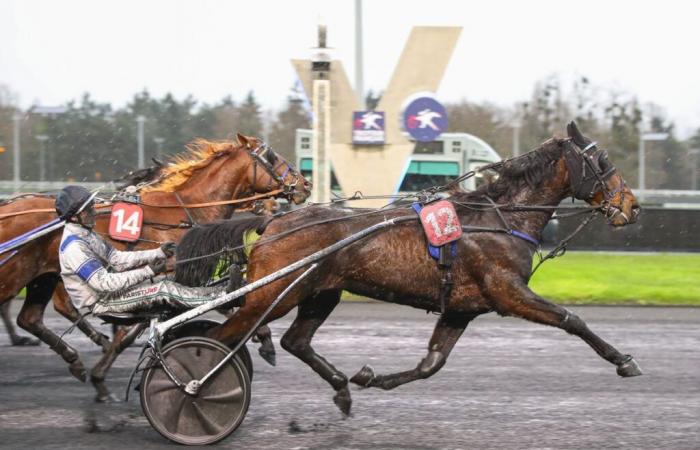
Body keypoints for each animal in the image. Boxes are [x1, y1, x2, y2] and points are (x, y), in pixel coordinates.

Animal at [0, 134, 308, 398]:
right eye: (272, 156)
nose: (304, 184)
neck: (187, 210)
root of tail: (7, 208)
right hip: (15, 274)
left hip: (43, 275)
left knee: (30, 318)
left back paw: (73, 359)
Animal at [179, 120, 640, 414]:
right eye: (602, 161)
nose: (632, 206)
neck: (498, 218)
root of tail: (273, 220)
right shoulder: (508, 292)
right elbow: (571, 319)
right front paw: (623, 360)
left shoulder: (462, 307)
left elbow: (431, 364)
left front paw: (371, 378)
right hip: (274, 293)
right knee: (222, 337)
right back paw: (196, 385)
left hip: (320, 291)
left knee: (296, 340)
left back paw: (341, 387)